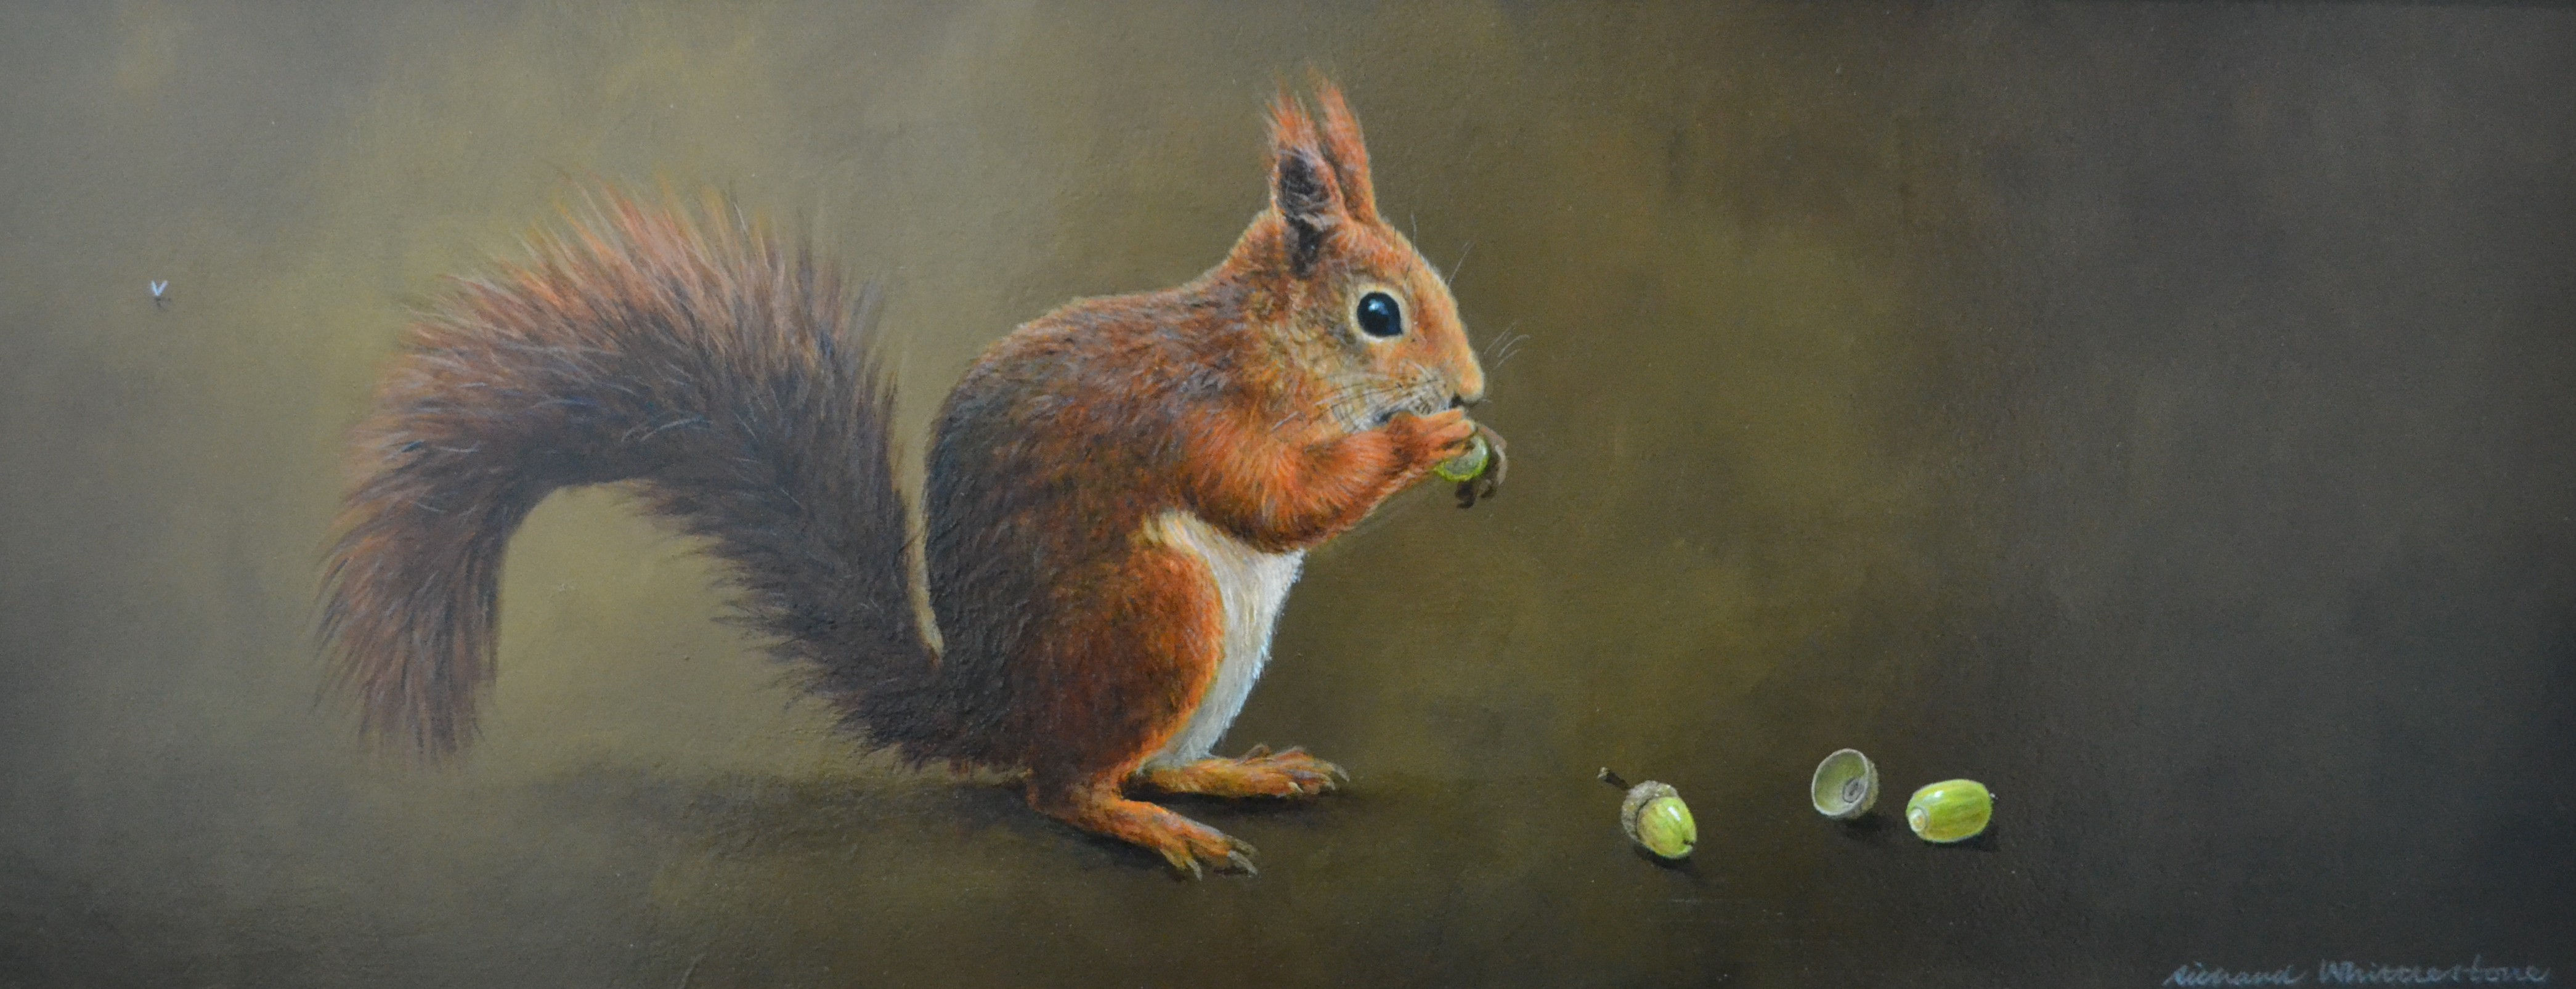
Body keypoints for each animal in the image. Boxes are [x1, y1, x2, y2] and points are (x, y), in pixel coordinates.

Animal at [317, 82, 1503, 877]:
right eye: (1379, 314)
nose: (1473, 387)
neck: (1264, 345)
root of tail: (990, 708)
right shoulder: (1192, 416)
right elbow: (1273, 500)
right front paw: (1429, 442)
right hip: (1155, 617)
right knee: (1064, 788)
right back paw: (1157, 827)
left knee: (1138, 764)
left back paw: (1240, 775)